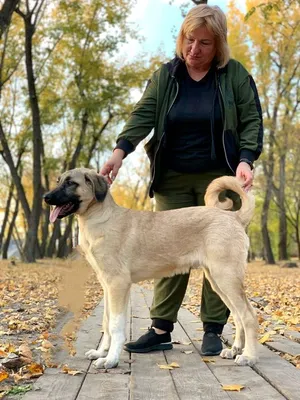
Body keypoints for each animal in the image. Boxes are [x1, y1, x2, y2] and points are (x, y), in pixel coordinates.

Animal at [44, 168, 258, 368]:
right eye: (59, 181)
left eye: (71, 183)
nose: (46, 197)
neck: (100, 218)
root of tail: (234, 217)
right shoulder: (107, 286)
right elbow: (106, 322)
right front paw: (100, 352)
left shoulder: (117, 284)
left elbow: (115, 325)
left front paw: (111, 359)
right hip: (217, 281)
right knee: (238, 315)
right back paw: (234, 350)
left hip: (226, 278)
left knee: (248, 316)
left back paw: (249, 356)